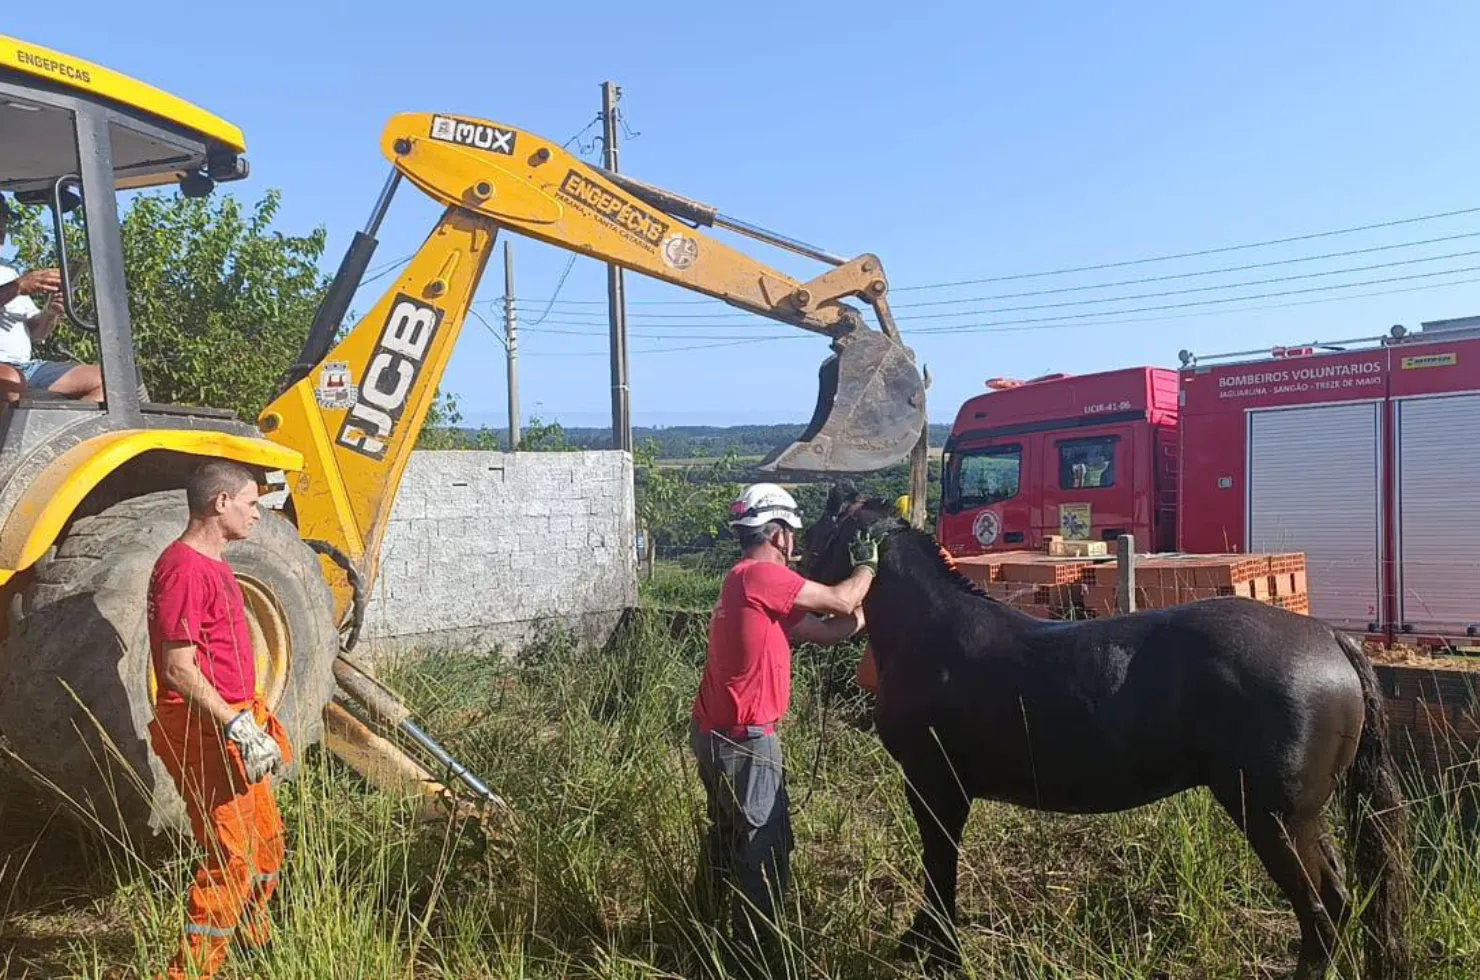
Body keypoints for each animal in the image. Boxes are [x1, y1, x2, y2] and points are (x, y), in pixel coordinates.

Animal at [799, 488, 1408, 977]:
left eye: (813, 534)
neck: (933, 635)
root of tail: (1330, 638)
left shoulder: (935, 786)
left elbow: (938, 862)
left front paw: (938, 950)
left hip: (1273, 818)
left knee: (1323, 909)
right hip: (1302, 817)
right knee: (1340, 898)